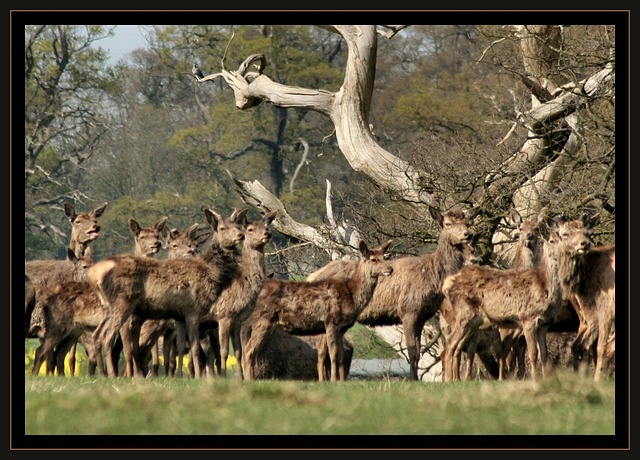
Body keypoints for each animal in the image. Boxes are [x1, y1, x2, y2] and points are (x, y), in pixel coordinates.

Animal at [91, 208, 246, 378]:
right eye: (222, 228)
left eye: (238, 226)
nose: (241, 235)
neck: (212, 272)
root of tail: (95, 274)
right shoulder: (193, 310)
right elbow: (195, 350)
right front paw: (198, 377)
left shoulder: (179, 317)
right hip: (123, 303)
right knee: (107, 335)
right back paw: (113, 375)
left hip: (109, 306)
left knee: (97, 334)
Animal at [242, 239, 392, 382]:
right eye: (373, 259)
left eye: (385, 257)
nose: (390, 269)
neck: (352, 294)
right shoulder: (331, 321)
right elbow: (333, 355)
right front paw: (333, 381)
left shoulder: (342, 328)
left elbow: (341, 356)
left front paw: (341, 382)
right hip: (263, 320)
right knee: (248, 350)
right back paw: (250, 380)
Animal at [308, 208, 478, 380]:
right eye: (447, 223)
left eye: (467, 222)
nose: (467, 234)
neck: (433, 277)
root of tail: (311, 276)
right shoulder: (408, 310)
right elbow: (413, 351)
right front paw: (412, 379)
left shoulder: (421, 316)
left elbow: (418, 352)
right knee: (322, 353)